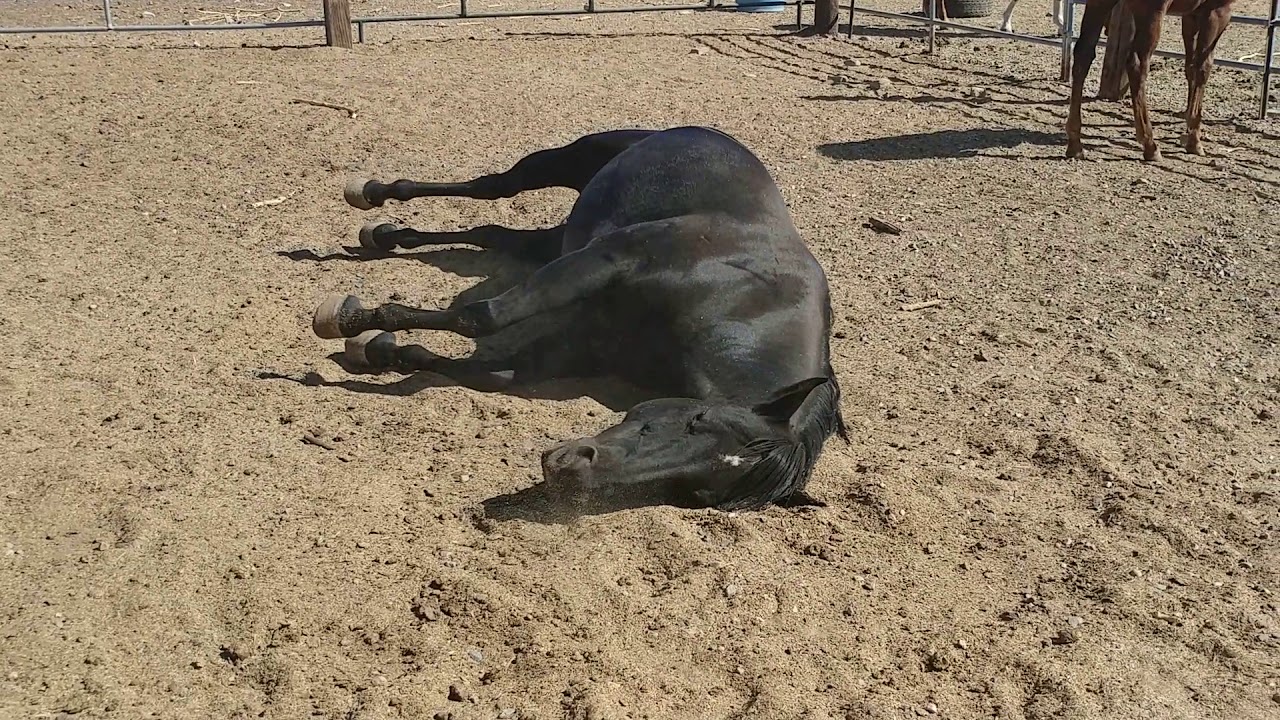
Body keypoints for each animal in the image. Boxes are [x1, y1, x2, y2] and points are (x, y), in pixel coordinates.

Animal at [311, 127, 849, 512]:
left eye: (694, 493)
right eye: (697, 420)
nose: (569, 471)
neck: (742, 303)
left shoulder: (575, 348)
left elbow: (483, 371)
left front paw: (378, 349)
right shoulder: (600, 263)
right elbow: (483, 317)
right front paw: (354, 318)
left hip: (552, 240)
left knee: (490, 233)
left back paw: (384, 235)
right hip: (564, 163)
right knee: (493, 188)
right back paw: (373, 194)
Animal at [1066, 0, 1237, 161]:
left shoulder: (1191, 15)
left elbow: (1191, 67)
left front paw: (1188, 127)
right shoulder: (1218, 11)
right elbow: (1203, 67)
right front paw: (1194, 139)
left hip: (1099, 5)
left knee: (1083, 54)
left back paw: (1075, 144)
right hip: (1152, 15)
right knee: (1137, 64)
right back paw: (1150, 145)